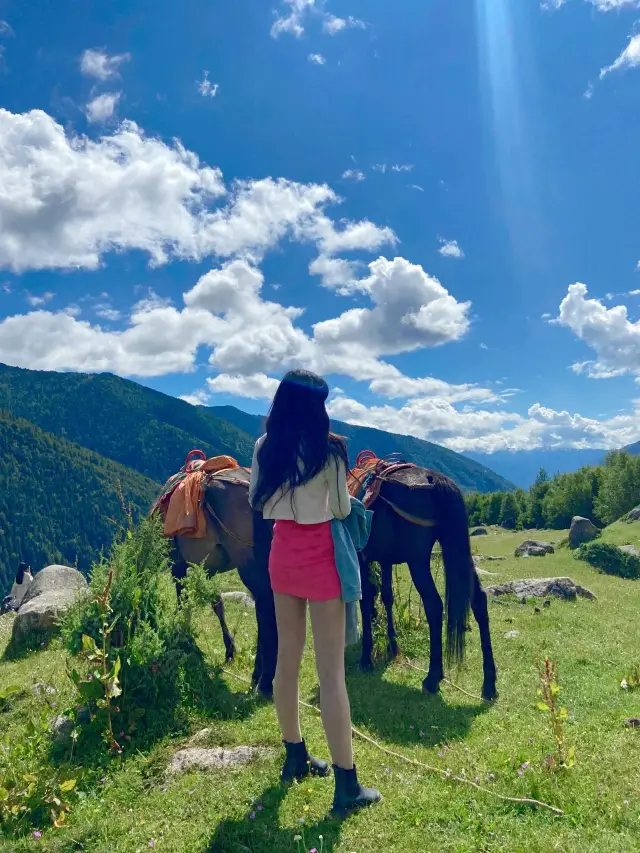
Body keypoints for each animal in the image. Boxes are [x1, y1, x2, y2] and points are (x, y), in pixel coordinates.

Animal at [165, 466, 278, 700]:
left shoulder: (179, 566)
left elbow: (183, 601)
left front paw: (181, 633)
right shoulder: (204, 569)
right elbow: (217, 602)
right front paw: (229, 649)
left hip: (249, 564)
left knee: (266, 610)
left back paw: (263, 682)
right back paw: (259, 677)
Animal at [356, 462, 500, 704]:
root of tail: (433, 478)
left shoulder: (362, 558)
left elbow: (366, 602)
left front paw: (366, 659)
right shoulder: (385, 560)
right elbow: (387, 597)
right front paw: (393, 648)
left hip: (418, 560)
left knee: (434, 605)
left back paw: (432, 679)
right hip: (458, 553)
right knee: (479, 600)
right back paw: (489, 685)